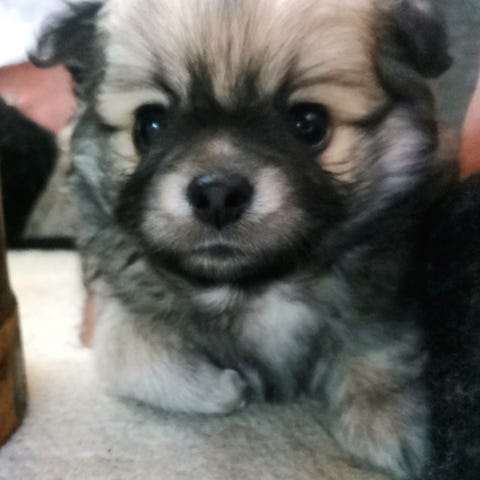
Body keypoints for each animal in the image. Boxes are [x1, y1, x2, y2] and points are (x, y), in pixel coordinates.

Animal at [32, 1, 456, 478]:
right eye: (150, 125)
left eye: (309, 124)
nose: (217, 194)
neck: (250, 284)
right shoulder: (115, 310)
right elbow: (126, 352)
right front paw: (223, 387)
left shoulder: (384, 288)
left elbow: (379, 342)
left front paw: (392, 422)